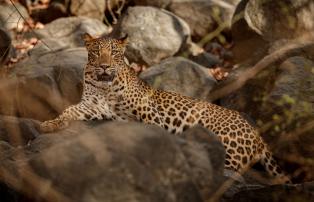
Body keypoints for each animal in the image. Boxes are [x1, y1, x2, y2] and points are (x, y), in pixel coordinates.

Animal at [39, 33, 292, 185]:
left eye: (114, 53)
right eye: (96, 53)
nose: (104, 66)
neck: (104, 85)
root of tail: (256, 133)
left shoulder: (149, 111)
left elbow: (151, 126)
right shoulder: (91, 106)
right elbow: (69, 111)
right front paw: (49, 123)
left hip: (225, 143)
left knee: (230, 170)